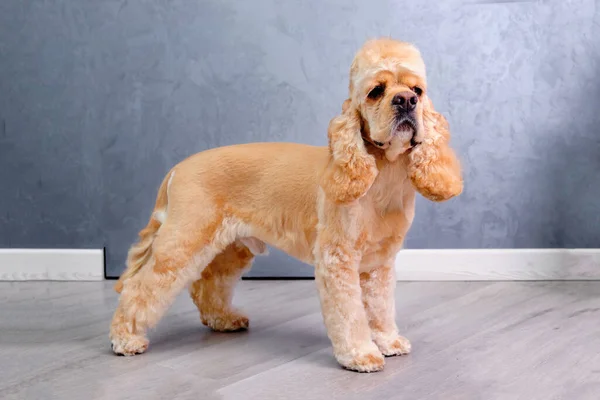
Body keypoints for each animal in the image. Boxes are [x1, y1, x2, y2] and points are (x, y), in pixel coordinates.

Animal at [110, 37, 462, 372]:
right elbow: (350, 313)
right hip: (182, 241)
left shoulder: (380, 261)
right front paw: (360, 354)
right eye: (376, 91)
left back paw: (224, 320)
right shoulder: (338, 258)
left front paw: (388, 341)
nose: (406, 101)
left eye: (417, 90)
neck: (382, 177)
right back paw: (125, 338)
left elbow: (380, 306)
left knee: (207, 286)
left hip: (231, 248)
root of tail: (176, 169)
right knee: (138, 287)